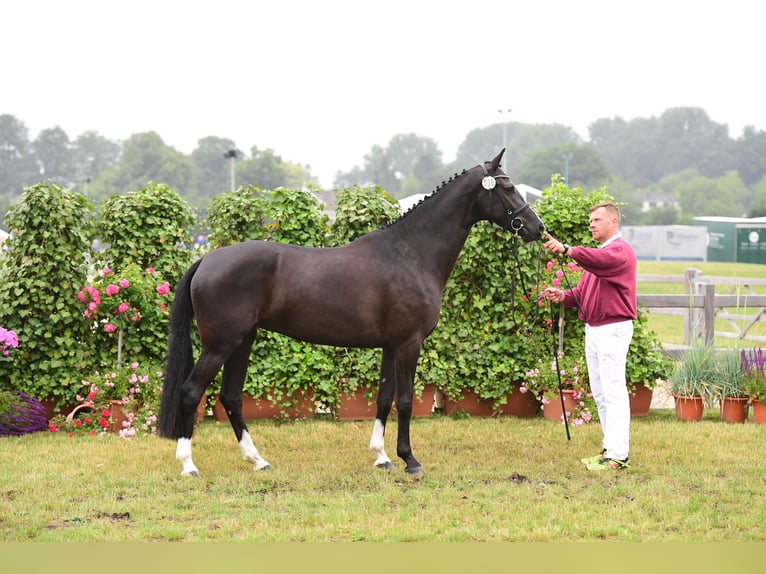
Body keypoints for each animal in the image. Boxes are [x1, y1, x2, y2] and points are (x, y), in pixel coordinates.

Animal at [159, 148, 544, 476]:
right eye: (508, 187)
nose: (537, 228)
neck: (411, 253)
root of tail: (207, 259)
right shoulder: (409, 344)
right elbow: (406, 401)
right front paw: (410, 460)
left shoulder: (391, 346)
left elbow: (384, 398)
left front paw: (382, 456)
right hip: (220, 344)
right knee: (191, 392)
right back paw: (189, 465)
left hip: (243, 341)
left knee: (231, 397)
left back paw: (258, 460)